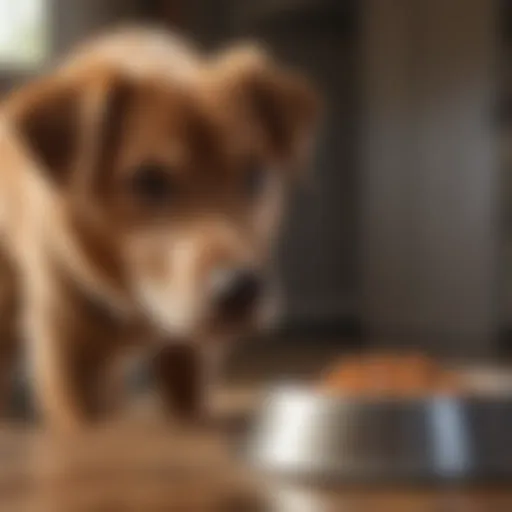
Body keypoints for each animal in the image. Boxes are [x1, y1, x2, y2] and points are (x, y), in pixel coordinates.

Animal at [0, 27, 320, 428]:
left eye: (255, 174)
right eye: (149, 180)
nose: (240, 290)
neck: (139, 301)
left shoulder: (189, 358)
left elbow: (188, 406)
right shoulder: (67, 354)